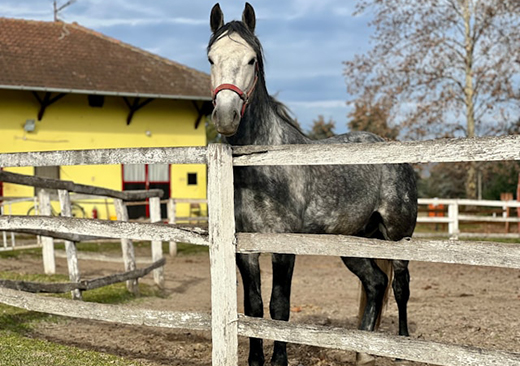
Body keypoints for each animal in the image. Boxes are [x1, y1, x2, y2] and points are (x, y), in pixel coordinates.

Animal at [207, 3, 418, 366]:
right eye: (211, 58)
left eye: (251, 60)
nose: (225, 116)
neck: (262, 168)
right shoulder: (246, 251)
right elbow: (253, 307)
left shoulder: (284, 248)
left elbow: (279, 307)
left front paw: (279, 361)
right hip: (355, 242)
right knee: (376, 283)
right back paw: (363, 352)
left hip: (397, 236)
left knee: (401, 286)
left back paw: (402, 349)